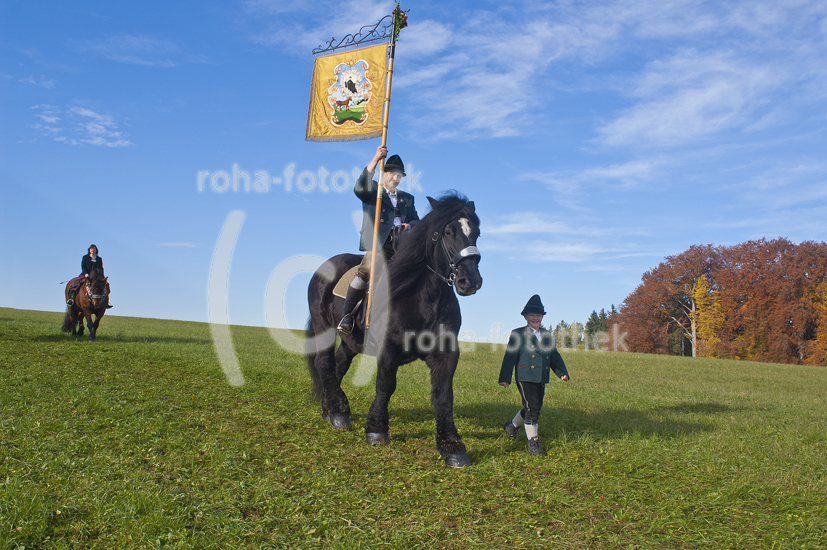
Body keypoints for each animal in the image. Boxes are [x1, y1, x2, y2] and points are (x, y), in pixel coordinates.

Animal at [306, 192, 483, 468]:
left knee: (338, 366)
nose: (470, 281)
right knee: (324, 363)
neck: (425, 297)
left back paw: (331, 409)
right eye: (448, 232)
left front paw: (452, 447)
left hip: (350, 341)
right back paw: (337, 413)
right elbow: (386, 385)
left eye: (476, 232)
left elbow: (444, 395)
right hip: (322, 325)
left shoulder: (446, 354)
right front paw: (376, 429)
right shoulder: (388, 349)